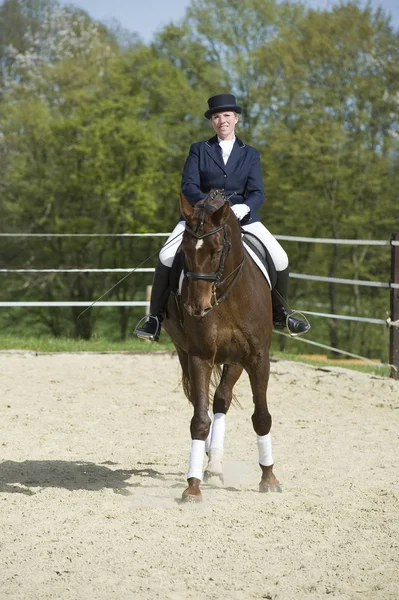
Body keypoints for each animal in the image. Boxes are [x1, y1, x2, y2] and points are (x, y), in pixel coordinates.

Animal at [162, 189, 282, 502]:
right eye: (184, 251)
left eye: (217, 250)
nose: (196, 307)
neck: (228, 295)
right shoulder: (199, 356)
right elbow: (199, 421)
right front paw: (192, 486)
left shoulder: (257, 358)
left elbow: (262, 417)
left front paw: (269, 478)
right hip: (184, 351)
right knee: (201, 402)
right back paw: (207, 459)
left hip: (235, 361)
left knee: (221, 399)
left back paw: (214, 462)